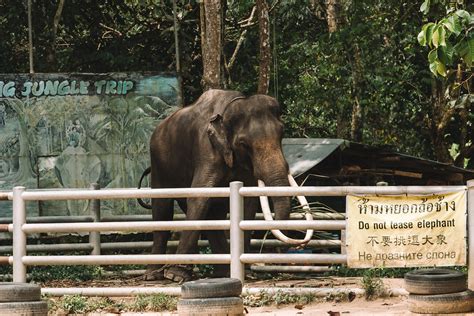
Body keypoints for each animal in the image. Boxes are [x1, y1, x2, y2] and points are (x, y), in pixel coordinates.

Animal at [139, 89, 312, 284]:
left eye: (281, 135)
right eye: (244, 144)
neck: (231, 106)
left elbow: (247, 203)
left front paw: (246, 273)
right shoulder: (206, 150)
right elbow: (198, 198)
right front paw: (176, 276)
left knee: (212, 213)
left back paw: (222, 273)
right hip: (158, 164)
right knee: (163, 209)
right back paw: (153, 275)